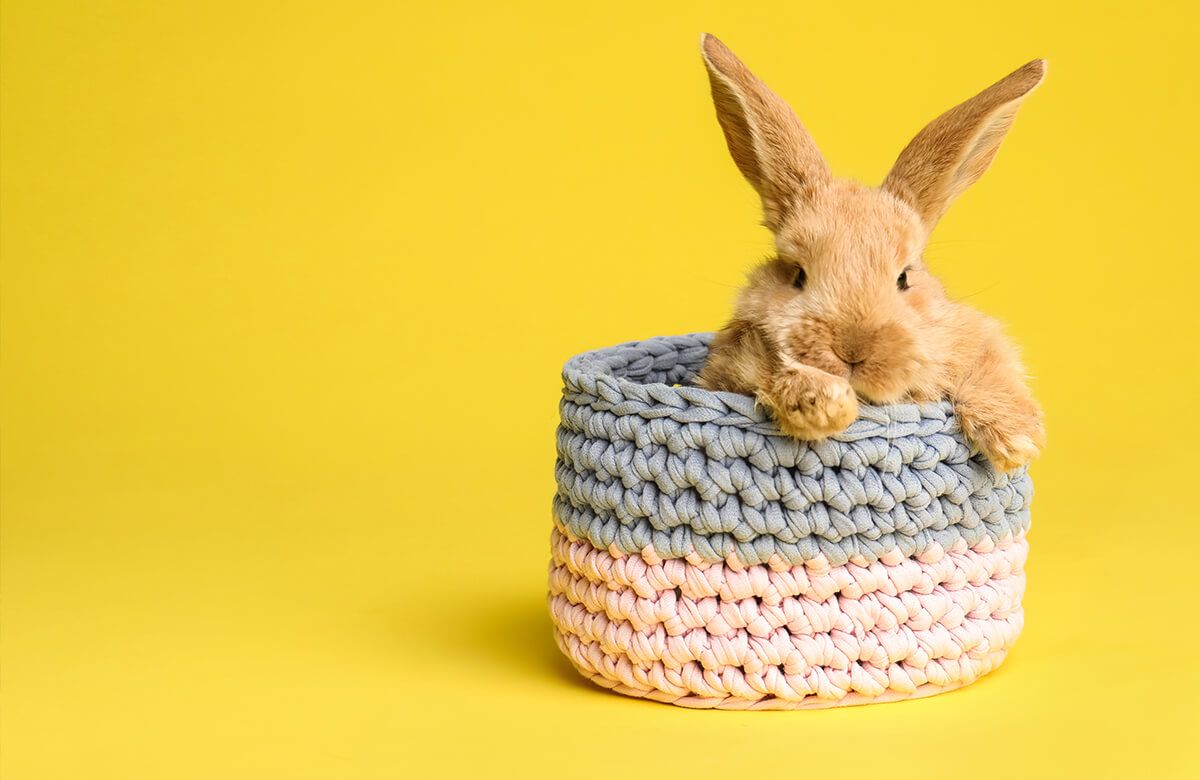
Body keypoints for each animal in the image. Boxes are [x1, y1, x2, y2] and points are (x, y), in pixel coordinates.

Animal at [700, 34, 1046, 468]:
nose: (853, 351)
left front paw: (1015, 440)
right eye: (798, 274)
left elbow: (992, 366)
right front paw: (826, 407)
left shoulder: (977, 337)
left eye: (904, 277)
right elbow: (769, 372)